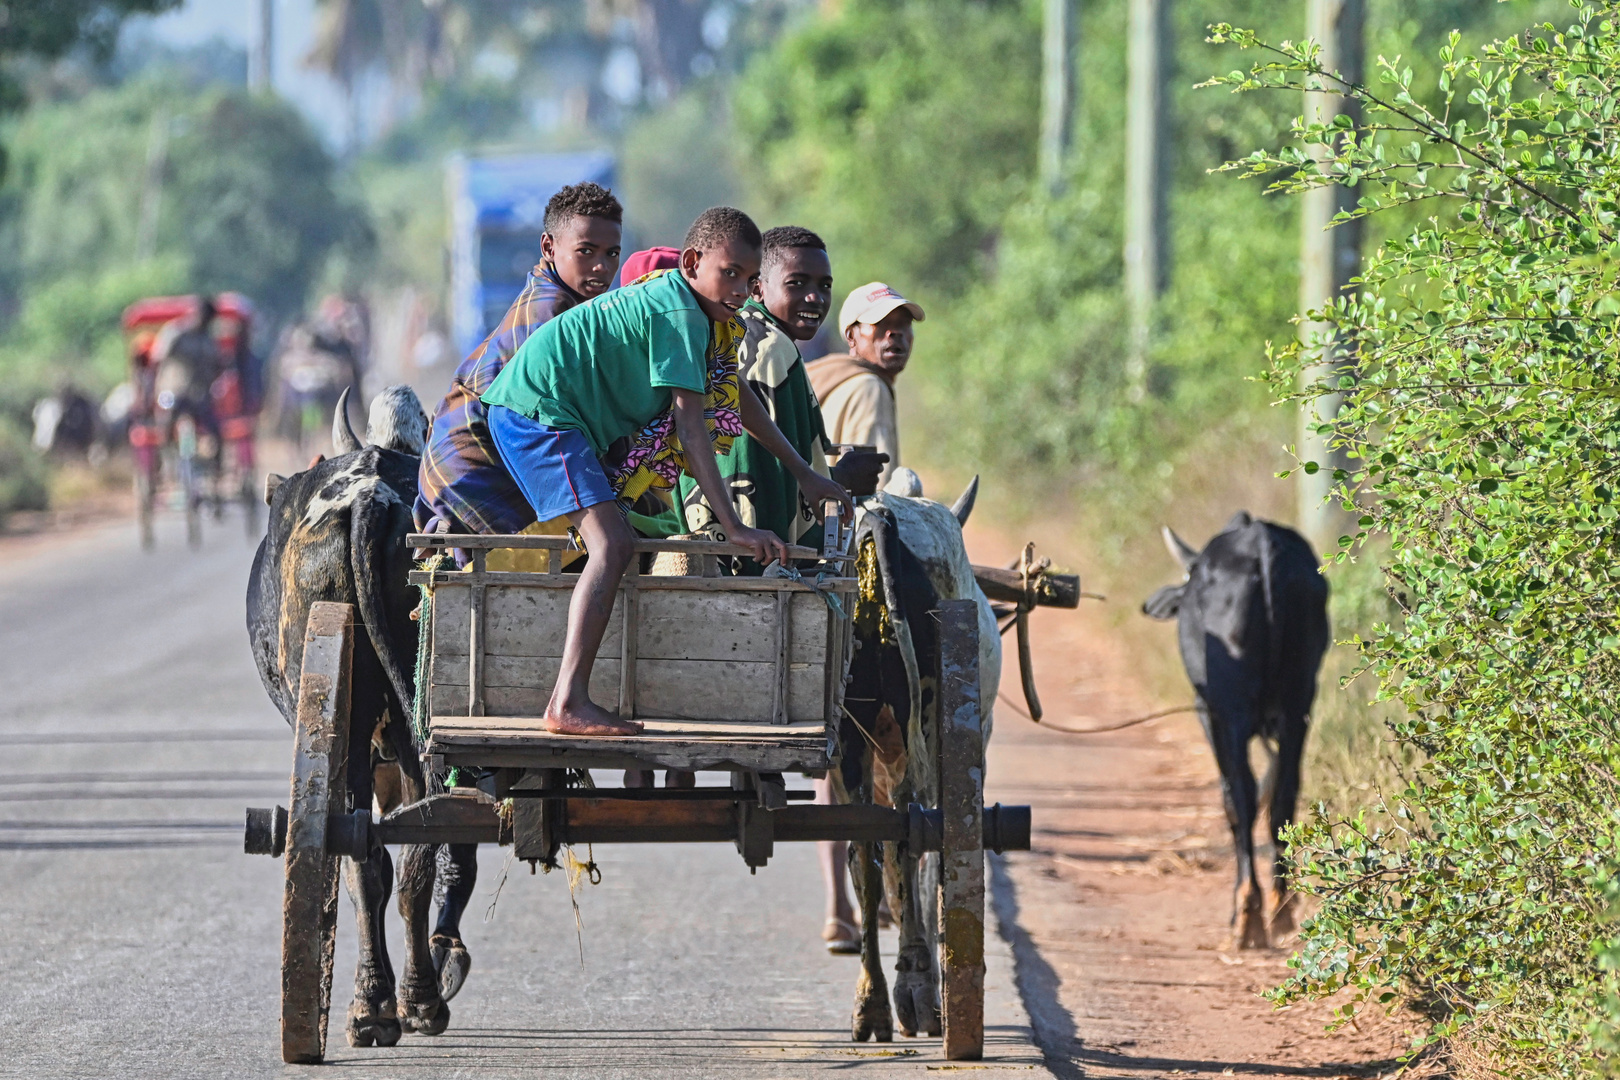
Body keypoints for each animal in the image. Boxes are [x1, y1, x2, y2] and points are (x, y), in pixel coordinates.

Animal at [1140, 511, 1328, 952]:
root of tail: (1262, 546)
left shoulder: (1208, 711)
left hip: (1230, 708)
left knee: (1240, 796)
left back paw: (1247, 916)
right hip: (1299, 698)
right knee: (1284, 796)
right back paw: (1280, 909)